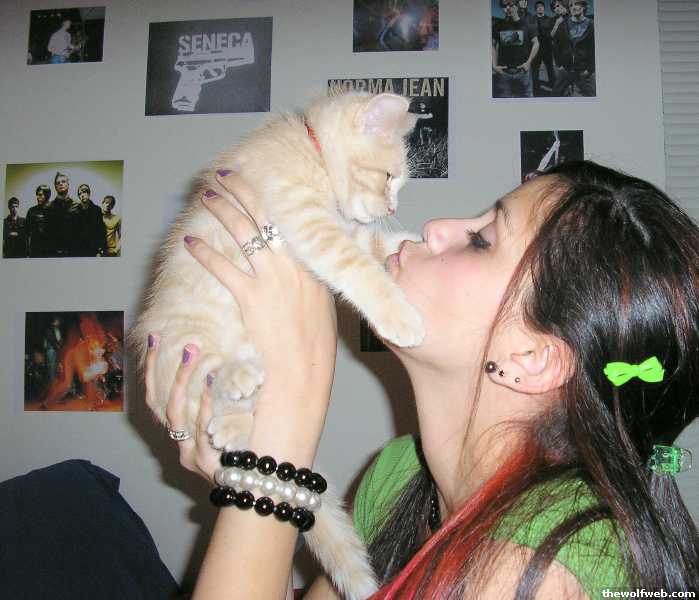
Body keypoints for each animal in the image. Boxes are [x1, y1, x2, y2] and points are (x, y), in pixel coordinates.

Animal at [131, 91, 423, 599]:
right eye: (389, 177)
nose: (391, 208)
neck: (311, 151)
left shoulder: (338, 225)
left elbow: (369, 244)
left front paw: (411, 242)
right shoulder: (307, 220)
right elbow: (358, 266)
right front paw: (399, 313)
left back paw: (234, 418)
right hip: (185, 342)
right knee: (205, 380)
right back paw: (234, 390)